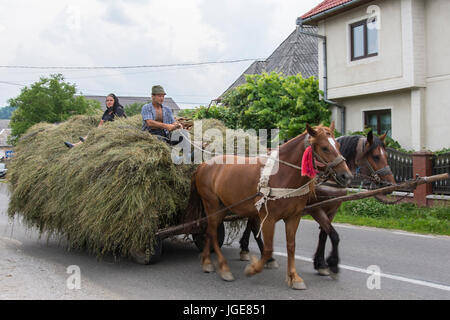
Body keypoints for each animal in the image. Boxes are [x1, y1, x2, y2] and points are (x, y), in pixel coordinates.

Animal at [188, 122, 354, 290]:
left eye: (338, 145)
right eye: (324, 148)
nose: (346, 176)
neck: (282, 175)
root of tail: (203, 165)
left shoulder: (294, 217)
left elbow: (292, 246)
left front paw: (294, 277)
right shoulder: (268, 218)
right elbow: (268, 249)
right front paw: (253, 268)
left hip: (223, 207)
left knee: (210, 231)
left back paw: (207, 261)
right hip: (212, 205)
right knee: (213, 233)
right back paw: (223, 267)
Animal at [237, 129, 396, 276]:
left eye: (386, 155)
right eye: (376, 156)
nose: (390, 184)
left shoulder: (332, 209)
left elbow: (325, 234)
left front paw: (321, 263)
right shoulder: (316, 209)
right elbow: (333, 234)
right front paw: (331, 263)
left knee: (251, 224)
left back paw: (247, 248)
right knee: (254, 226)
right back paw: (265, 257)